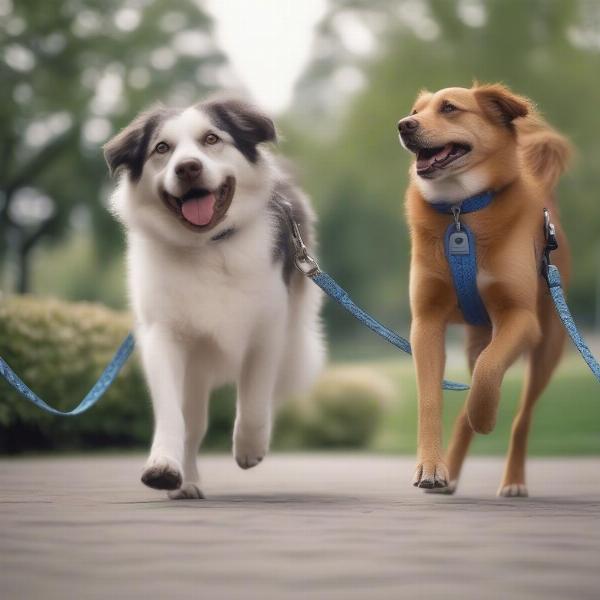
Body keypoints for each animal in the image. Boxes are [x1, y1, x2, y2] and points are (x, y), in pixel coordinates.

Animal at [105, 98, 326, 500]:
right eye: (162, 148)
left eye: (211, 139)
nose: (188, 167)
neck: (207, 245)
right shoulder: (162, 334)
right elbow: (172, 412)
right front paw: (163, 466)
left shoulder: (267, 331)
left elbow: (254, 399)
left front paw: (250, 448)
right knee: (193, 420)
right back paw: (187, 481)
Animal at [398, 84, 572, 496]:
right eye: (415, 110)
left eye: (449, 108)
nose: (403, 124)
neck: (460, 210)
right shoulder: (426, 321)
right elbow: (431, 399)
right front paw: (431, 467)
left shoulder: (520, 319)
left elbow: (489, 373)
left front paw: (485, 418)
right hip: (478, 339)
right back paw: (450, 473)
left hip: (547, 347)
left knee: (522, 417)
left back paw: (513, 480)